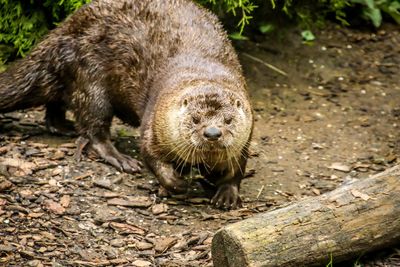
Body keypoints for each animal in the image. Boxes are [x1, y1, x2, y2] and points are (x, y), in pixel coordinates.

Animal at [0, 0, 253, 209]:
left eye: (228, 120)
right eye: (195, 119)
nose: (212, 133)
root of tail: (60, 31)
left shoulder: (245, 141)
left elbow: (237, 170)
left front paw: (227, 194)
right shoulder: (154, 127)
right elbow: (151, 157)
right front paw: (176, 182)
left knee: (56, 106)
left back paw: (63, 127)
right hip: (90, 81)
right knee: (94, 130)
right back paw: (121, 158)